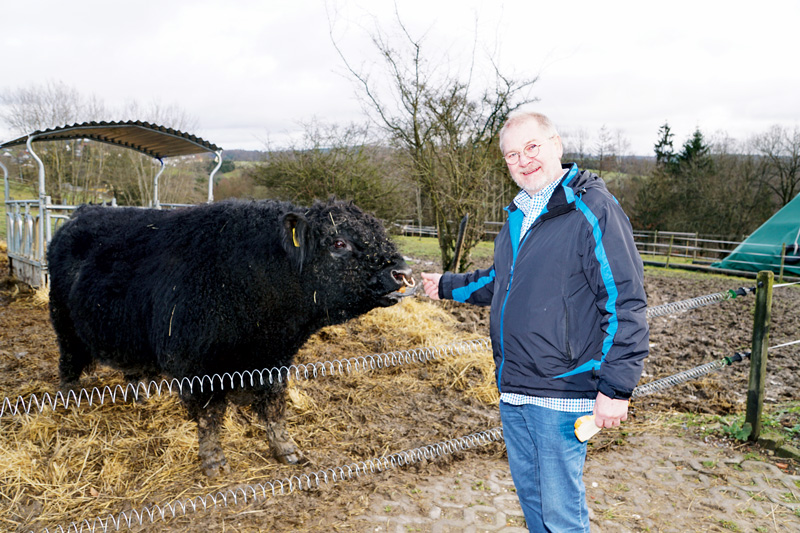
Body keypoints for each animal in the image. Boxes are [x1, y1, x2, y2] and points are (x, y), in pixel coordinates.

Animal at [47, 198, 416, 474]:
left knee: (132, 371)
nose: (403, 272)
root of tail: (81, 213)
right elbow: (210, 416)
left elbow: (274, 407)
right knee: (68, 364)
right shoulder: (198, 365)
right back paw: (68, 402)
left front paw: (287, 449)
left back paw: (142, 398)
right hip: (64, 323)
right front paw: (214, 461)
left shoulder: (274, 359)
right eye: (339, 242)